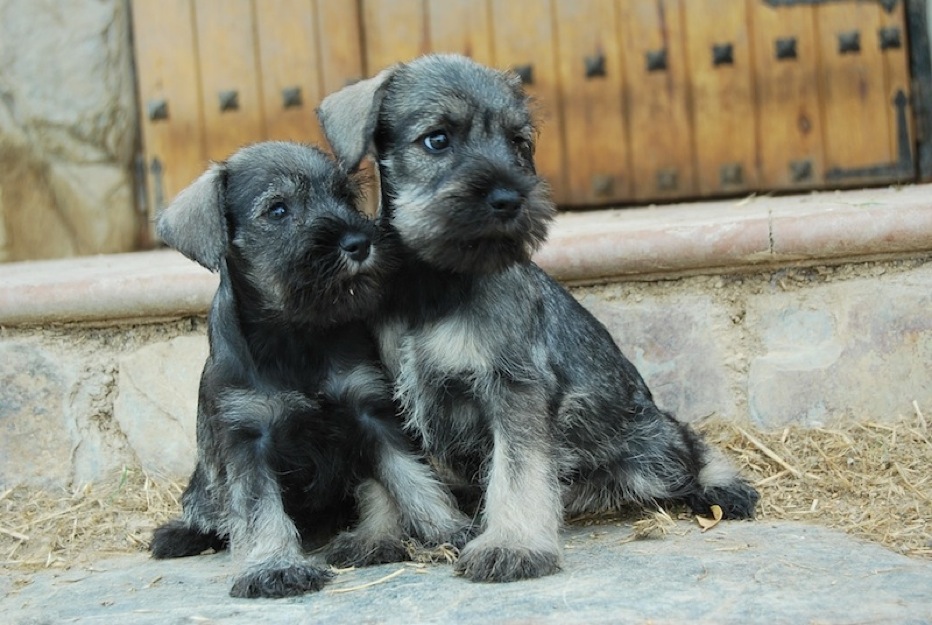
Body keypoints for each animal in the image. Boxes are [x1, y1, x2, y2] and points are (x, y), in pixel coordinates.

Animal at [151, 143, 466, 600]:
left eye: (345, 196)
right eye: (278, 210)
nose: (359, 242)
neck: (296, 334)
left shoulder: (370, 412)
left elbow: (412, 476)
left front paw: (450, 529)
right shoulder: (249, 438)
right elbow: (259, 508)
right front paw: (274, 568)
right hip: (202, 482)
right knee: (209, 511)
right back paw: (180, 534)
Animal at [316, 56, 760, 584]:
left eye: (519, 143)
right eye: (437, 138)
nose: (509, 200)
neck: (430, 284)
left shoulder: (514, 387)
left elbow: (517, 470)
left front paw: (513, 545)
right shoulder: (385, 402)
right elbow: (388, 474)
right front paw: (376, 534)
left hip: (651, 453)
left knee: (687, 444)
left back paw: (724, 484)